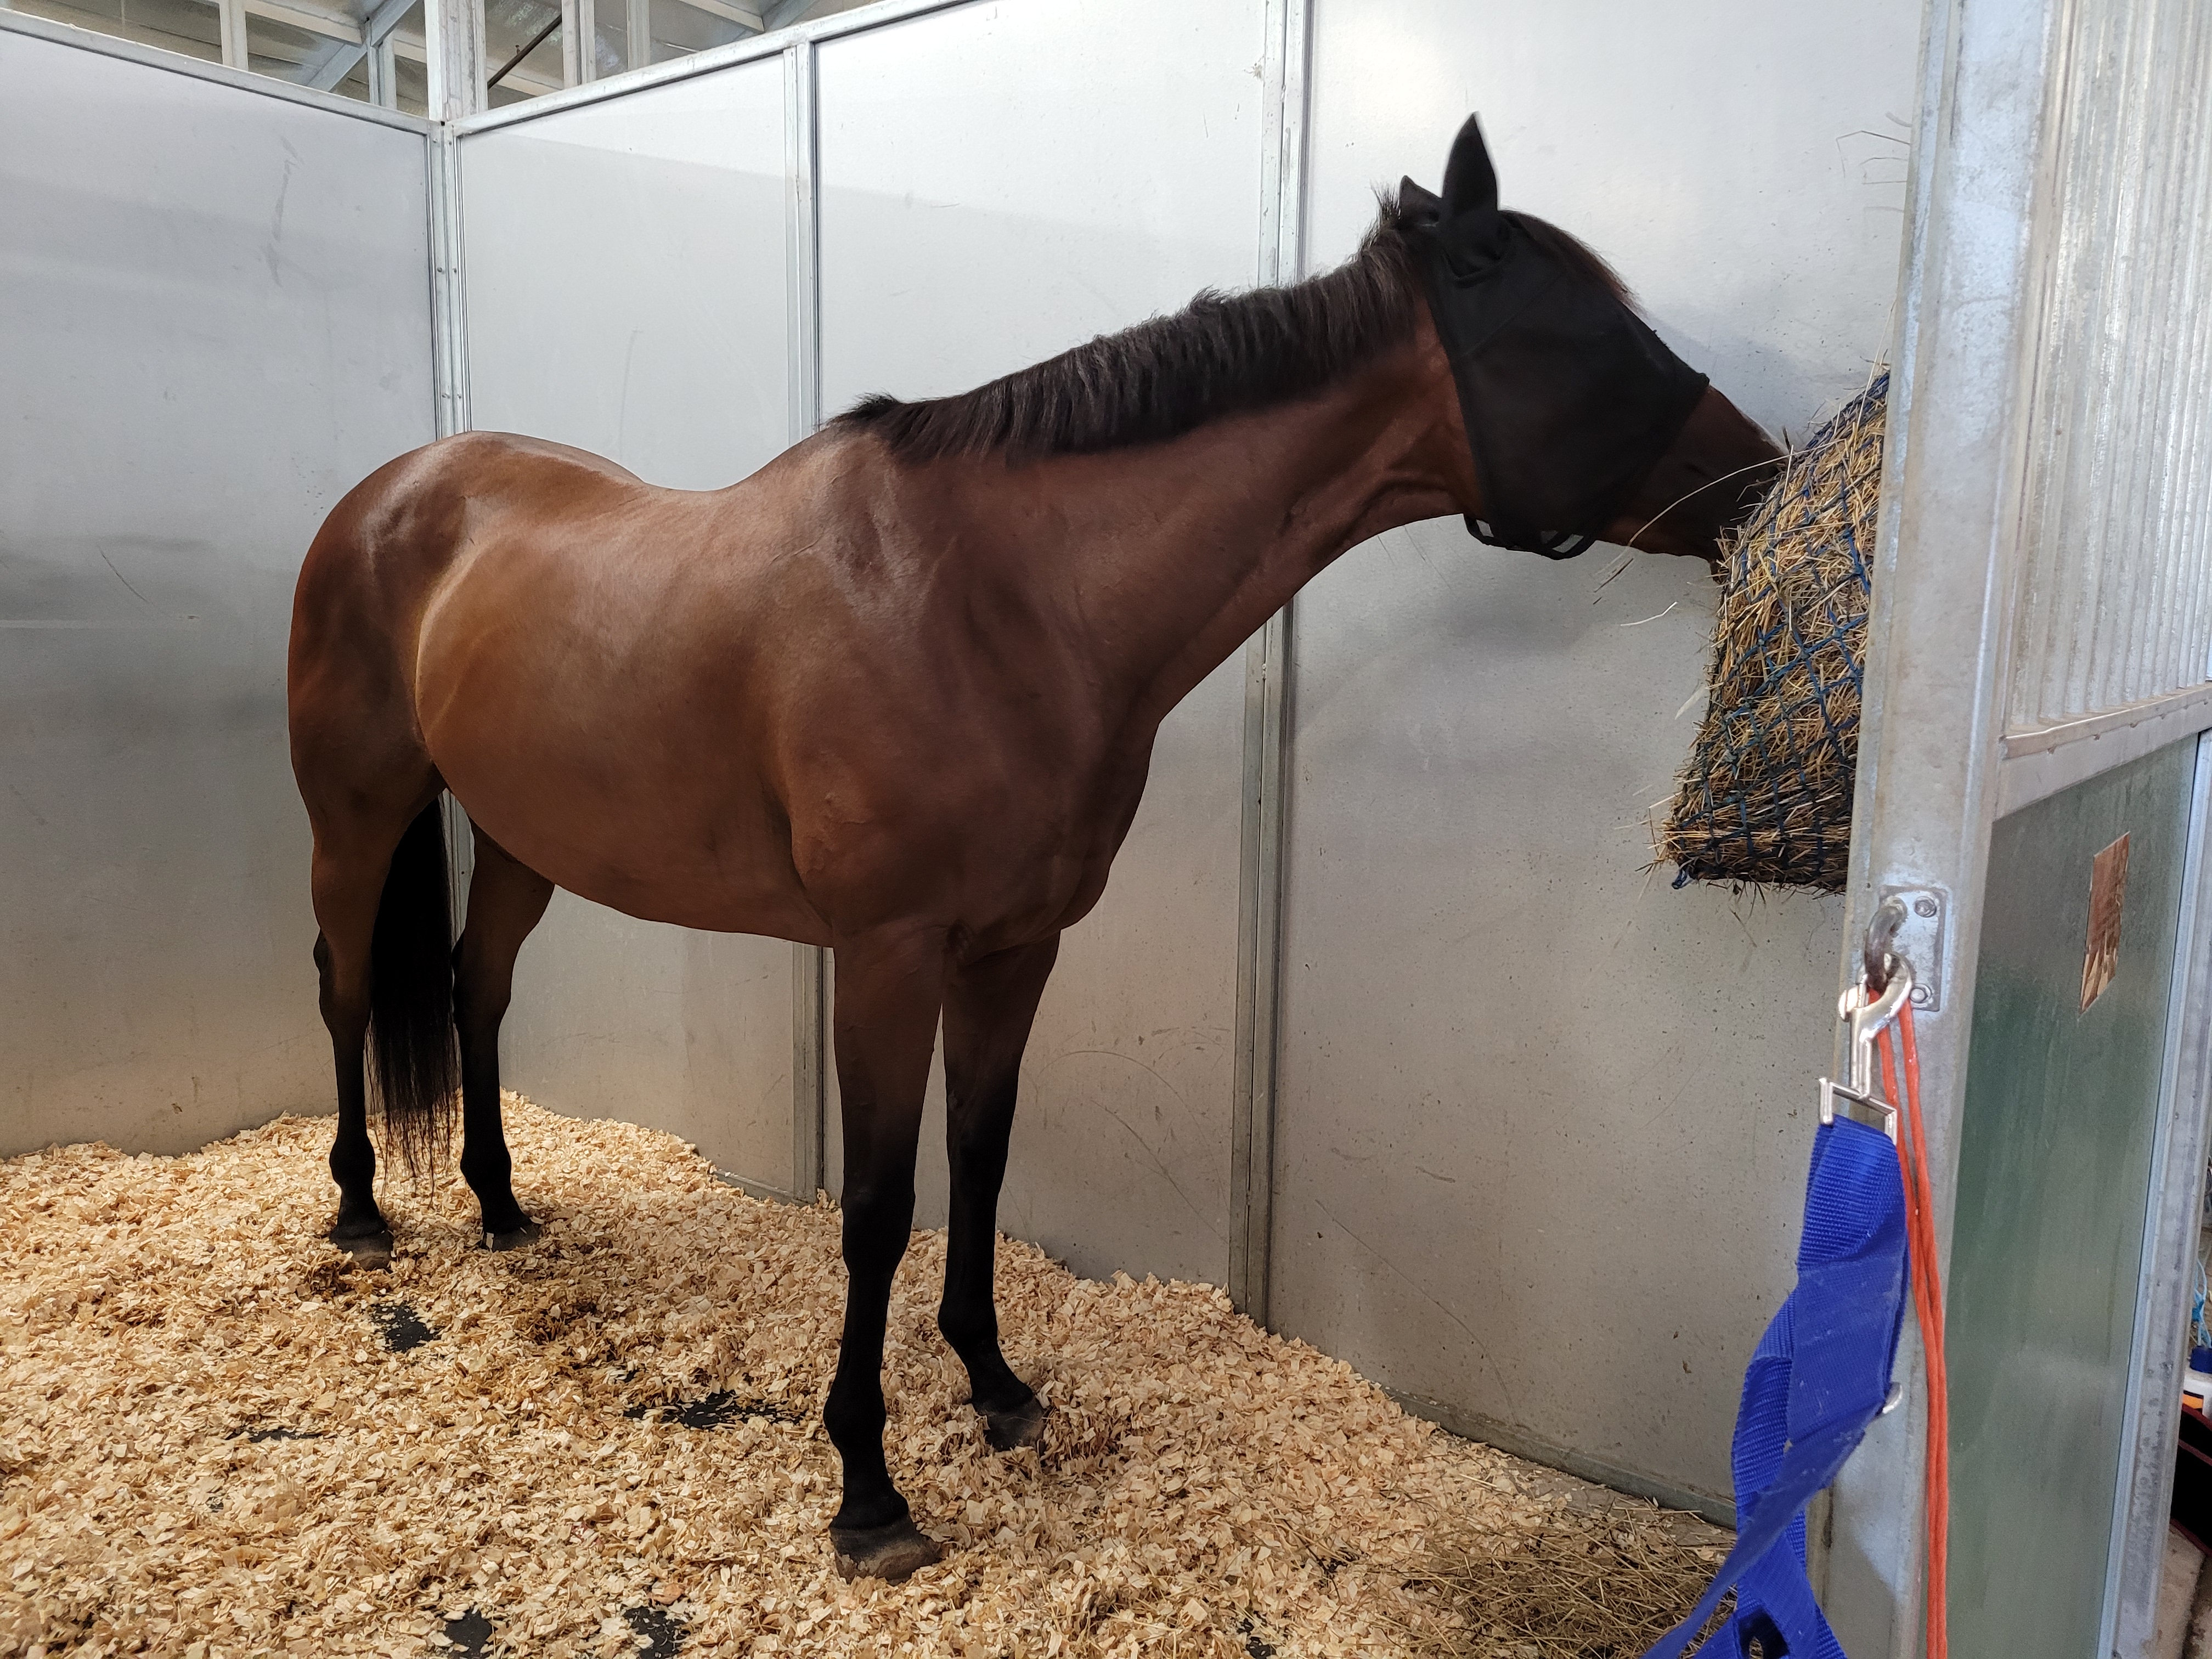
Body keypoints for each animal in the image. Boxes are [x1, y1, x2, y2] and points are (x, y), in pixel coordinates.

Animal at [286, 115, 1780, 1581]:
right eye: (1593, 337)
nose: (1764, 479)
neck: (993, 601)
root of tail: (391, 492)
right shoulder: (886, 957)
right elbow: (878, 1202)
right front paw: (868, 1489)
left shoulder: (1015, 947)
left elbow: (984, 1155)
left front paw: (997, 1385)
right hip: (355, 816)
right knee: (347, 984)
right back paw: (362, 1211)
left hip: (521, 837)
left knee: (479, 988)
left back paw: (499, 1205)